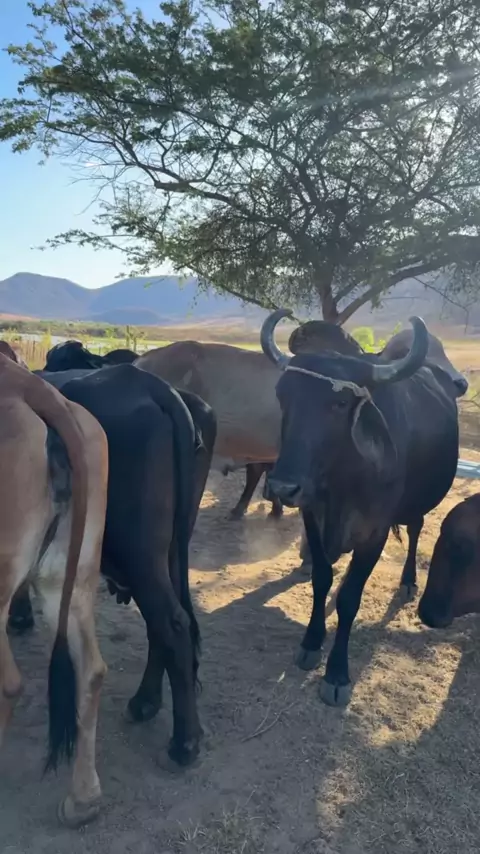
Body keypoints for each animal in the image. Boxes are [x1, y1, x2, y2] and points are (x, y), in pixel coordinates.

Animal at [9, 363, 216, 769]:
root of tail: (152, 385)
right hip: (170, 549)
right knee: (166, 625)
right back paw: (146, 702)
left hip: (139, 552)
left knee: (171, 624)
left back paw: (184, 742)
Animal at [261, 309, 462, 708]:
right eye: (282, 395)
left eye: (340, 404)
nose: (282, 487)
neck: (342, 481)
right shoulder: (313, 519)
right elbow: (322, 580)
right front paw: (311, 643)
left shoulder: (375, 532)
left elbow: (350, 598)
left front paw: (336, 674)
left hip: (414, 503)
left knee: (416, 528)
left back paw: (408, 581)